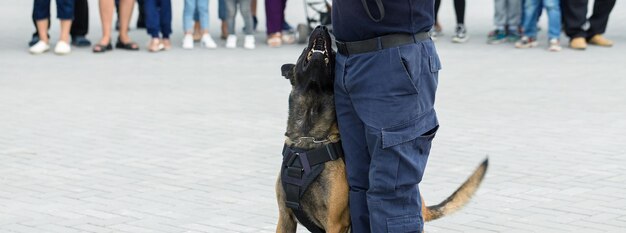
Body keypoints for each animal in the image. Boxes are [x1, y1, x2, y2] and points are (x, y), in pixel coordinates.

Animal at [276, 25, 488, 233]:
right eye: (305, 49)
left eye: (335, 55)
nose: (321, 27)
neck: (307, 139)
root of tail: (422, 205)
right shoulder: (285, 218)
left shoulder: (335, 223)